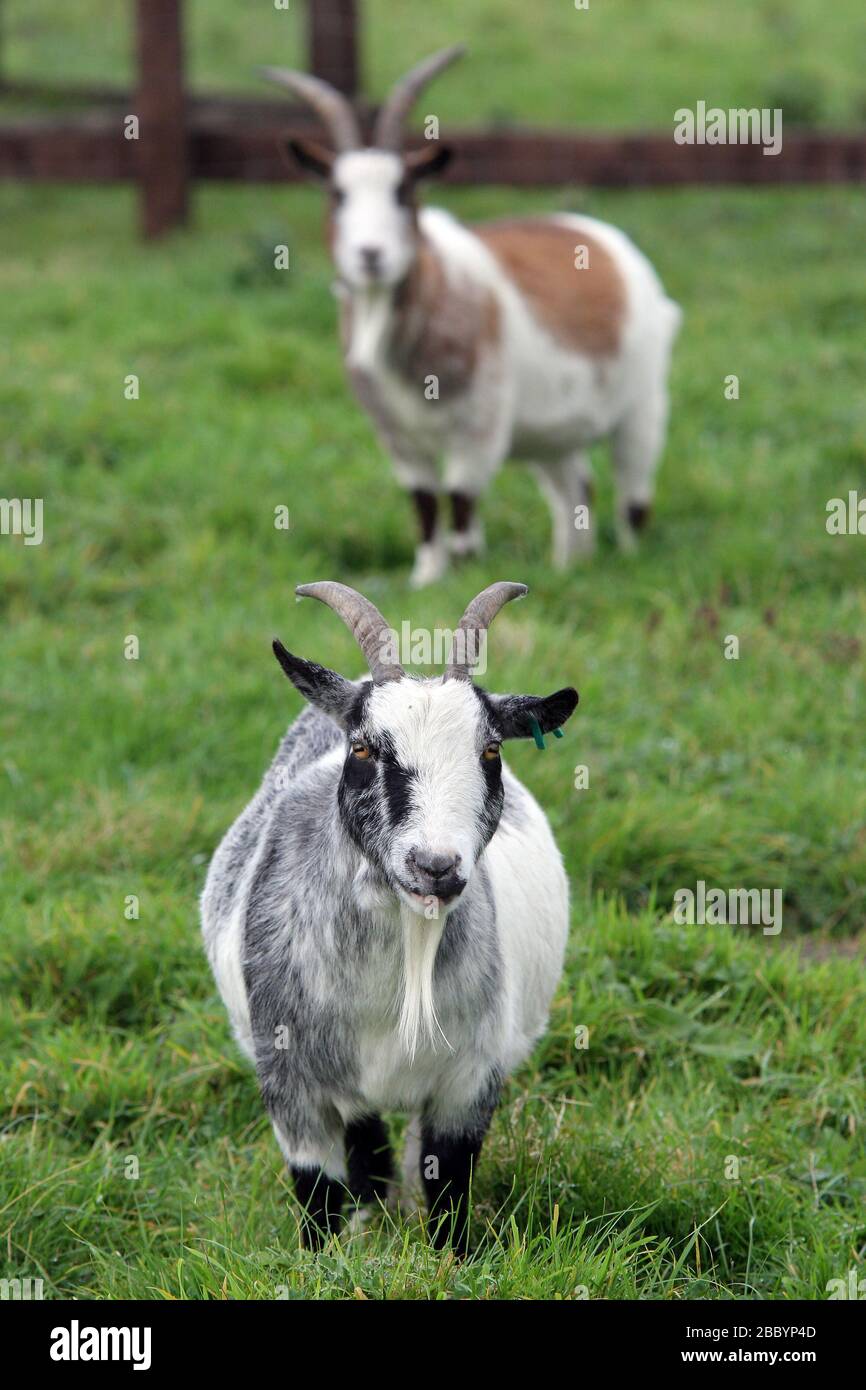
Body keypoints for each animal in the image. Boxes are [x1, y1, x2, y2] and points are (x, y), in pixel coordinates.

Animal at [202, 575, 578, 1251]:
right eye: (363, 748)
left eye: (490, 751)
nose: (436, 864)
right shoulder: (292, 1083)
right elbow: (318, 1194)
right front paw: (326, 1259)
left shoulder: (469, 1079)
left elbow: (448, 1185)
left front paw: (452, 1259)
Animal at [264, 47, 683, 586]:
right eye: (337, 194)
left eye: (404, 191)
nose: (370, 255)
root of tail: (608, 241)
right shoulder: (396, 435)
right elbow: (424, 503)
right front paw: (424, 579)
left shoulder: (480, 424)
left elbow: (460, 500)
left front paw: (462, 576)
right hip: (551, 432)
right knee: (575, 490)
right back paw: (572, 567)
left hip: (643, 400)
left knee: (634, 493)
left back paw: (629, 559)